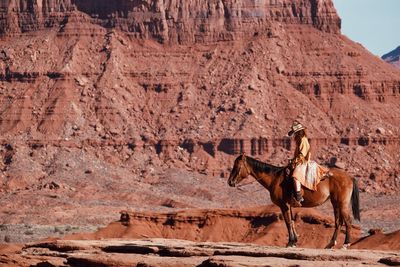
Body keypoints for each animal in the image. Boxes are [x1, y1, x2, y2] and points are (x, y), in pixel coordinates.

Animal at [227, 155, 360, 249]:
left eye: (237, 166)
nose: (230, 182)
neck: (275, 179)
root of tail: (349, 177)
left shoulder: (283, 205)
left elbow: (287, 222)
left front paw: (290, 242)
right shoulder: (289, 205)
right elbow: (291, 221)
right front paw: (294, 241)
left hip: (342, 203)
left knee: (347, 221)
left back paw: (345, 244)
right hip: (335, 203)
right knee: (338, 222)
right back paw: (330, 244)